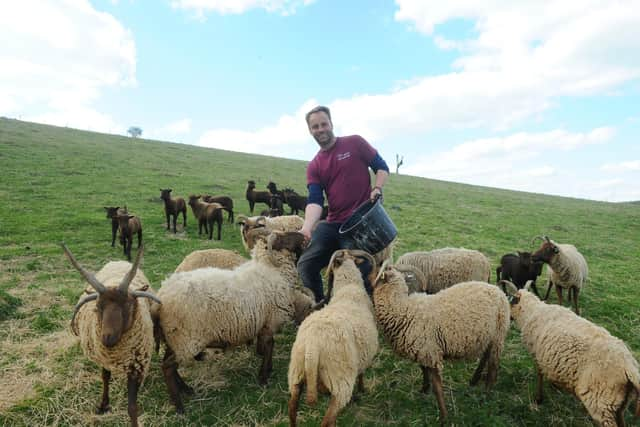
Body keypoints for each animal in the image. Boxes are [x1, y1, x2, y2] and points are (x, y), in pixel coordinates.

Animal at [62, 244, 161, 427]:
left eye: (128, 305)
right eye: (98, 306)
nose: (107, 339)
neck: (116, 353)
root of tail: (119, 260)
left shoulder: (136, 367)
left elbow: (132, 407)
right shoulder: (103, 357)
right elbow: (105, 377)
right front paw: (103, 404)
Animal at [155, 231, 316, 414]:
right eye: (284, 238)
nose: (303, 235)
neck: (271, 271)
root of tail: (161, 295)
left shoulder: (264, 323)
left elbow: (268, 346)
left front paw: (267, 369)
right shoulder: (270, 322)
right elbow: (269, 347)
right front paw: (263, 377)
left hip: (174, 337)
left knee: (168, 364)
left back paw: (186, 389)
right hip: (186, 339)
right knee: (168, 367)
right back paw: (179, 405)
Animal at [286, 249, 380, 427]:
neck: (349, 288)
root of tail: (313, 345)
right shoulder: (363, 357)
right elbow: (361, 374)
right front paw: (362, 389)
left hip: (296, 372)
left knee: (292, 411)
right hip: (340, 382)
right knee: (328, 420)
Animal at [370, 266, 510, 422]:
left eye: (376, 273)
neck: (402, 309)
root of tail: (498, 290)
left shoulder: (431, 352)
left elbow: (437, 386)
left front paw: (444, 416)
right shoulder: (423, 349)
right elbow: (423, 369)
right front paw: (424, 390)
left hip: (498, 332)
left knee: (493, 366)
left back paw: (486, 395)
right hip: (487, 335)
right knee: (486, 355)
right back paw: (474, 380)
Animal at [500, 280, 640, 427]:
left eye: (510, 301)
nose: (508, 317)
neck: (532, 312)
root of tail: (629, 367)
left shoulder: (537, 355)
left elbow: (539, 375)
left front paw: (538, 398)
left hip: (601, 403)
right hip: (619, 403)